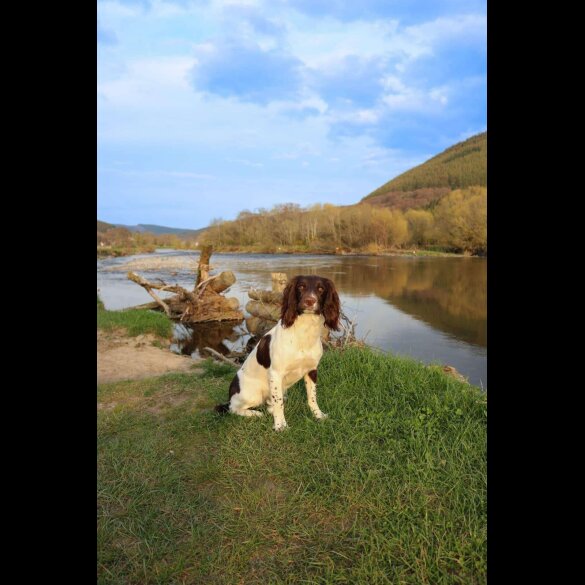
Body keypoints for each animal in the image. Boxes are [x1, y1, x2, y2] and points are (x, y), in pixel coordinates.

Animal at [214, 274, 340, 428]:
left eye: (321, 289)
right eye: (301, 286)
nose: (309, 301)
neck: (303, 332)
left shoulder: (312, 370)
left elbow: (312, 397)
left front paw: (318, 415)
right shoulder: (276, 373)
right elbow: (278, 402)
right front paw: (280, 425)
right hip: (253, 394)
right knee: (233, 408)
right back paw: (255, 413)